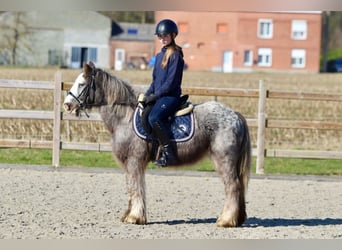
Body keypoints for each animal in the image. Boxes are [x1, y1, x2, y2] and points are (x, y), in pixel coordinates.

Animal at [63, 61, 251, 228]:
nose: (67, 105)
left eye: (81, 84)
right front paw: (129, 215)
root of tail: (235, 115)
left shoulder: (134, 161)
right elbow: (131, 186)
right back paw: (237, 219)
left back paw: (226, 220)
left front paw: (135, 217)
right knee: (239, 186)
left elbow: (136, 186)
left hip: (223, 160)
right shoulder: (130, 163)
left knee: (233, 186)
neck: (125, 117)